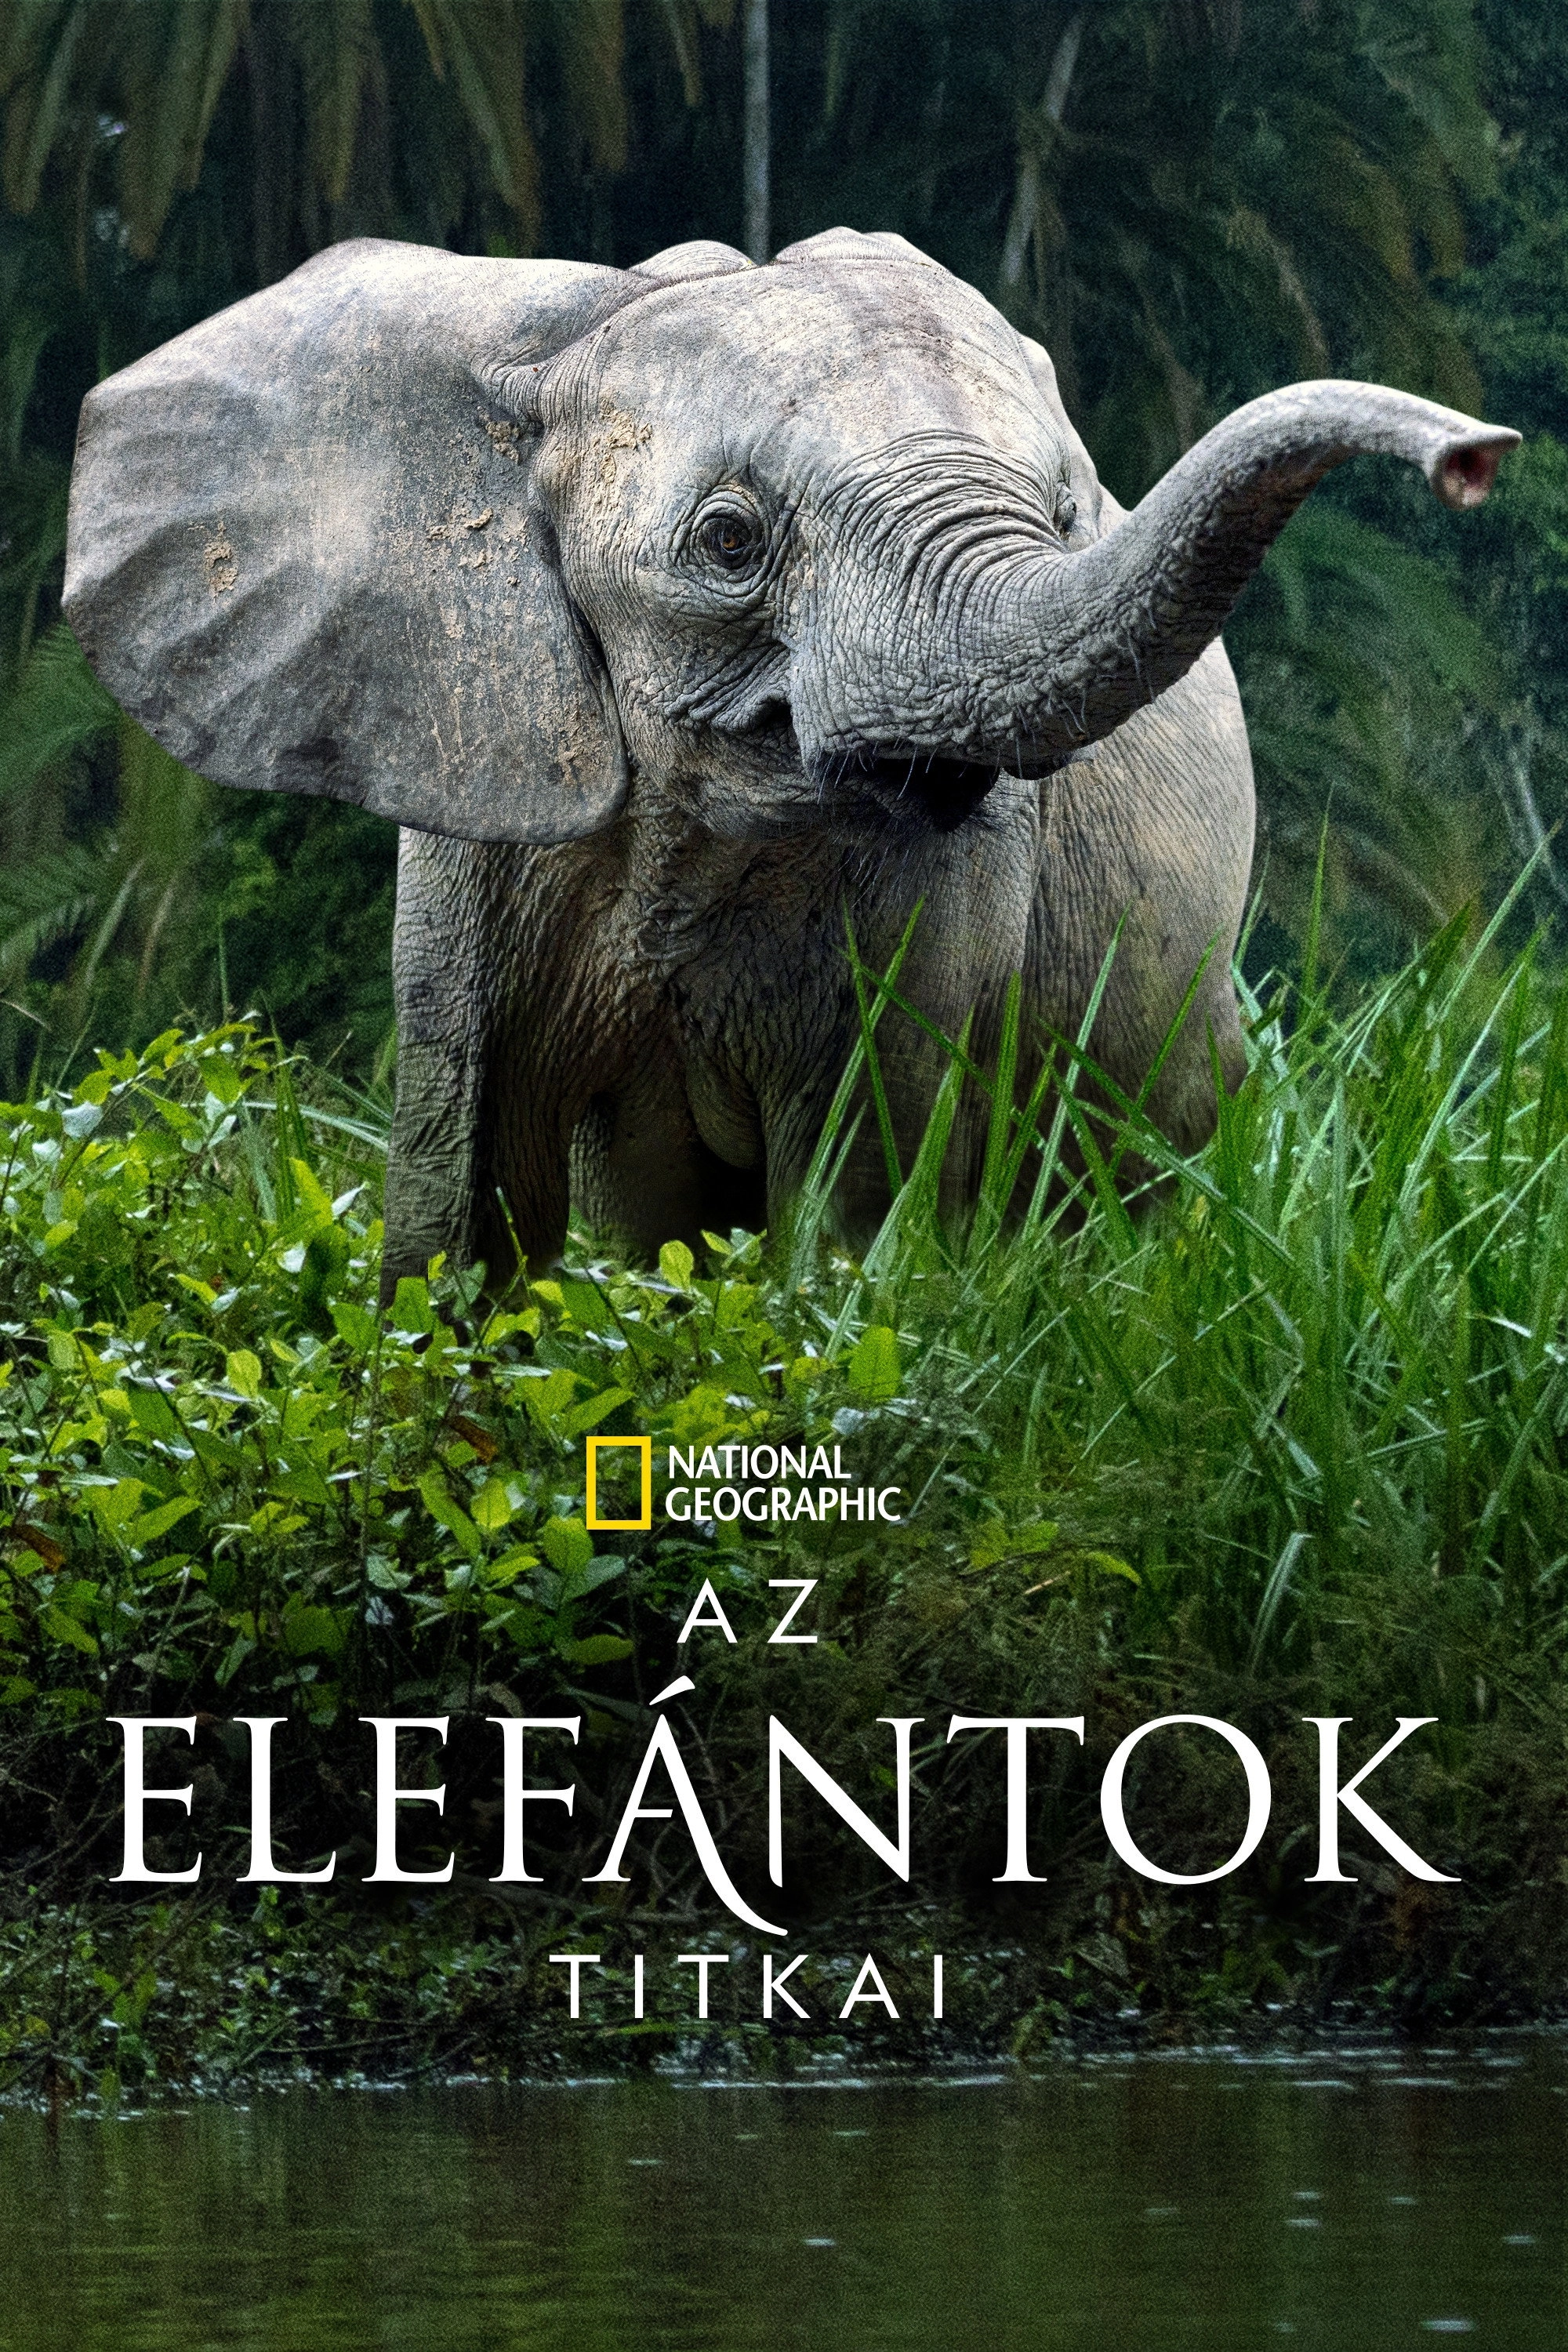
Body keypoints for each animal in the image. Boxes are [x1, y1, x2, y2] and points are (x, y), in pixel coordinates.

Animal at [62, 228, 1516, 1292]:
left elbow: (855, 1188)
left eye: (1067, 518)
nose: (1476, 458)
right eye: (729, 541)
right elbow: (467, 1190)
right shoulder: (479, 786)